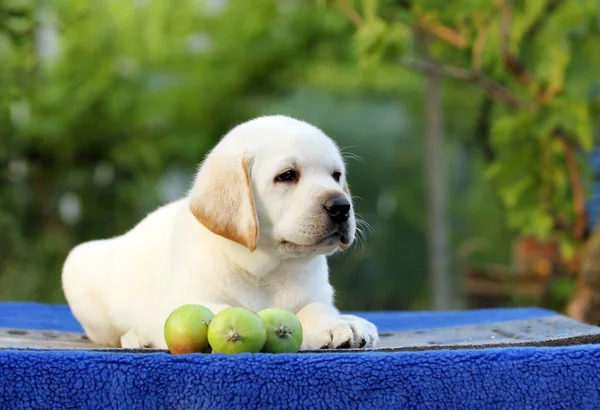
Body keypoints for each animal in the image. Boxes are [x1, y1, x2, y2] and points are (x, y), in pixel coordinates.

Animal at [62, 114, 380, 350]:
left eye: (336, 176)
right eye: (287, 176)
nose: (341, 206)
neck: (269, 269)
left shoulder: (318, 295)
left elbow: (315, 309)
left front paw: (339, 324)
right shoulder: (182, 301)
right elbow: (229, 311)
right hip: (79, 266)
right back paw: (137, 338)